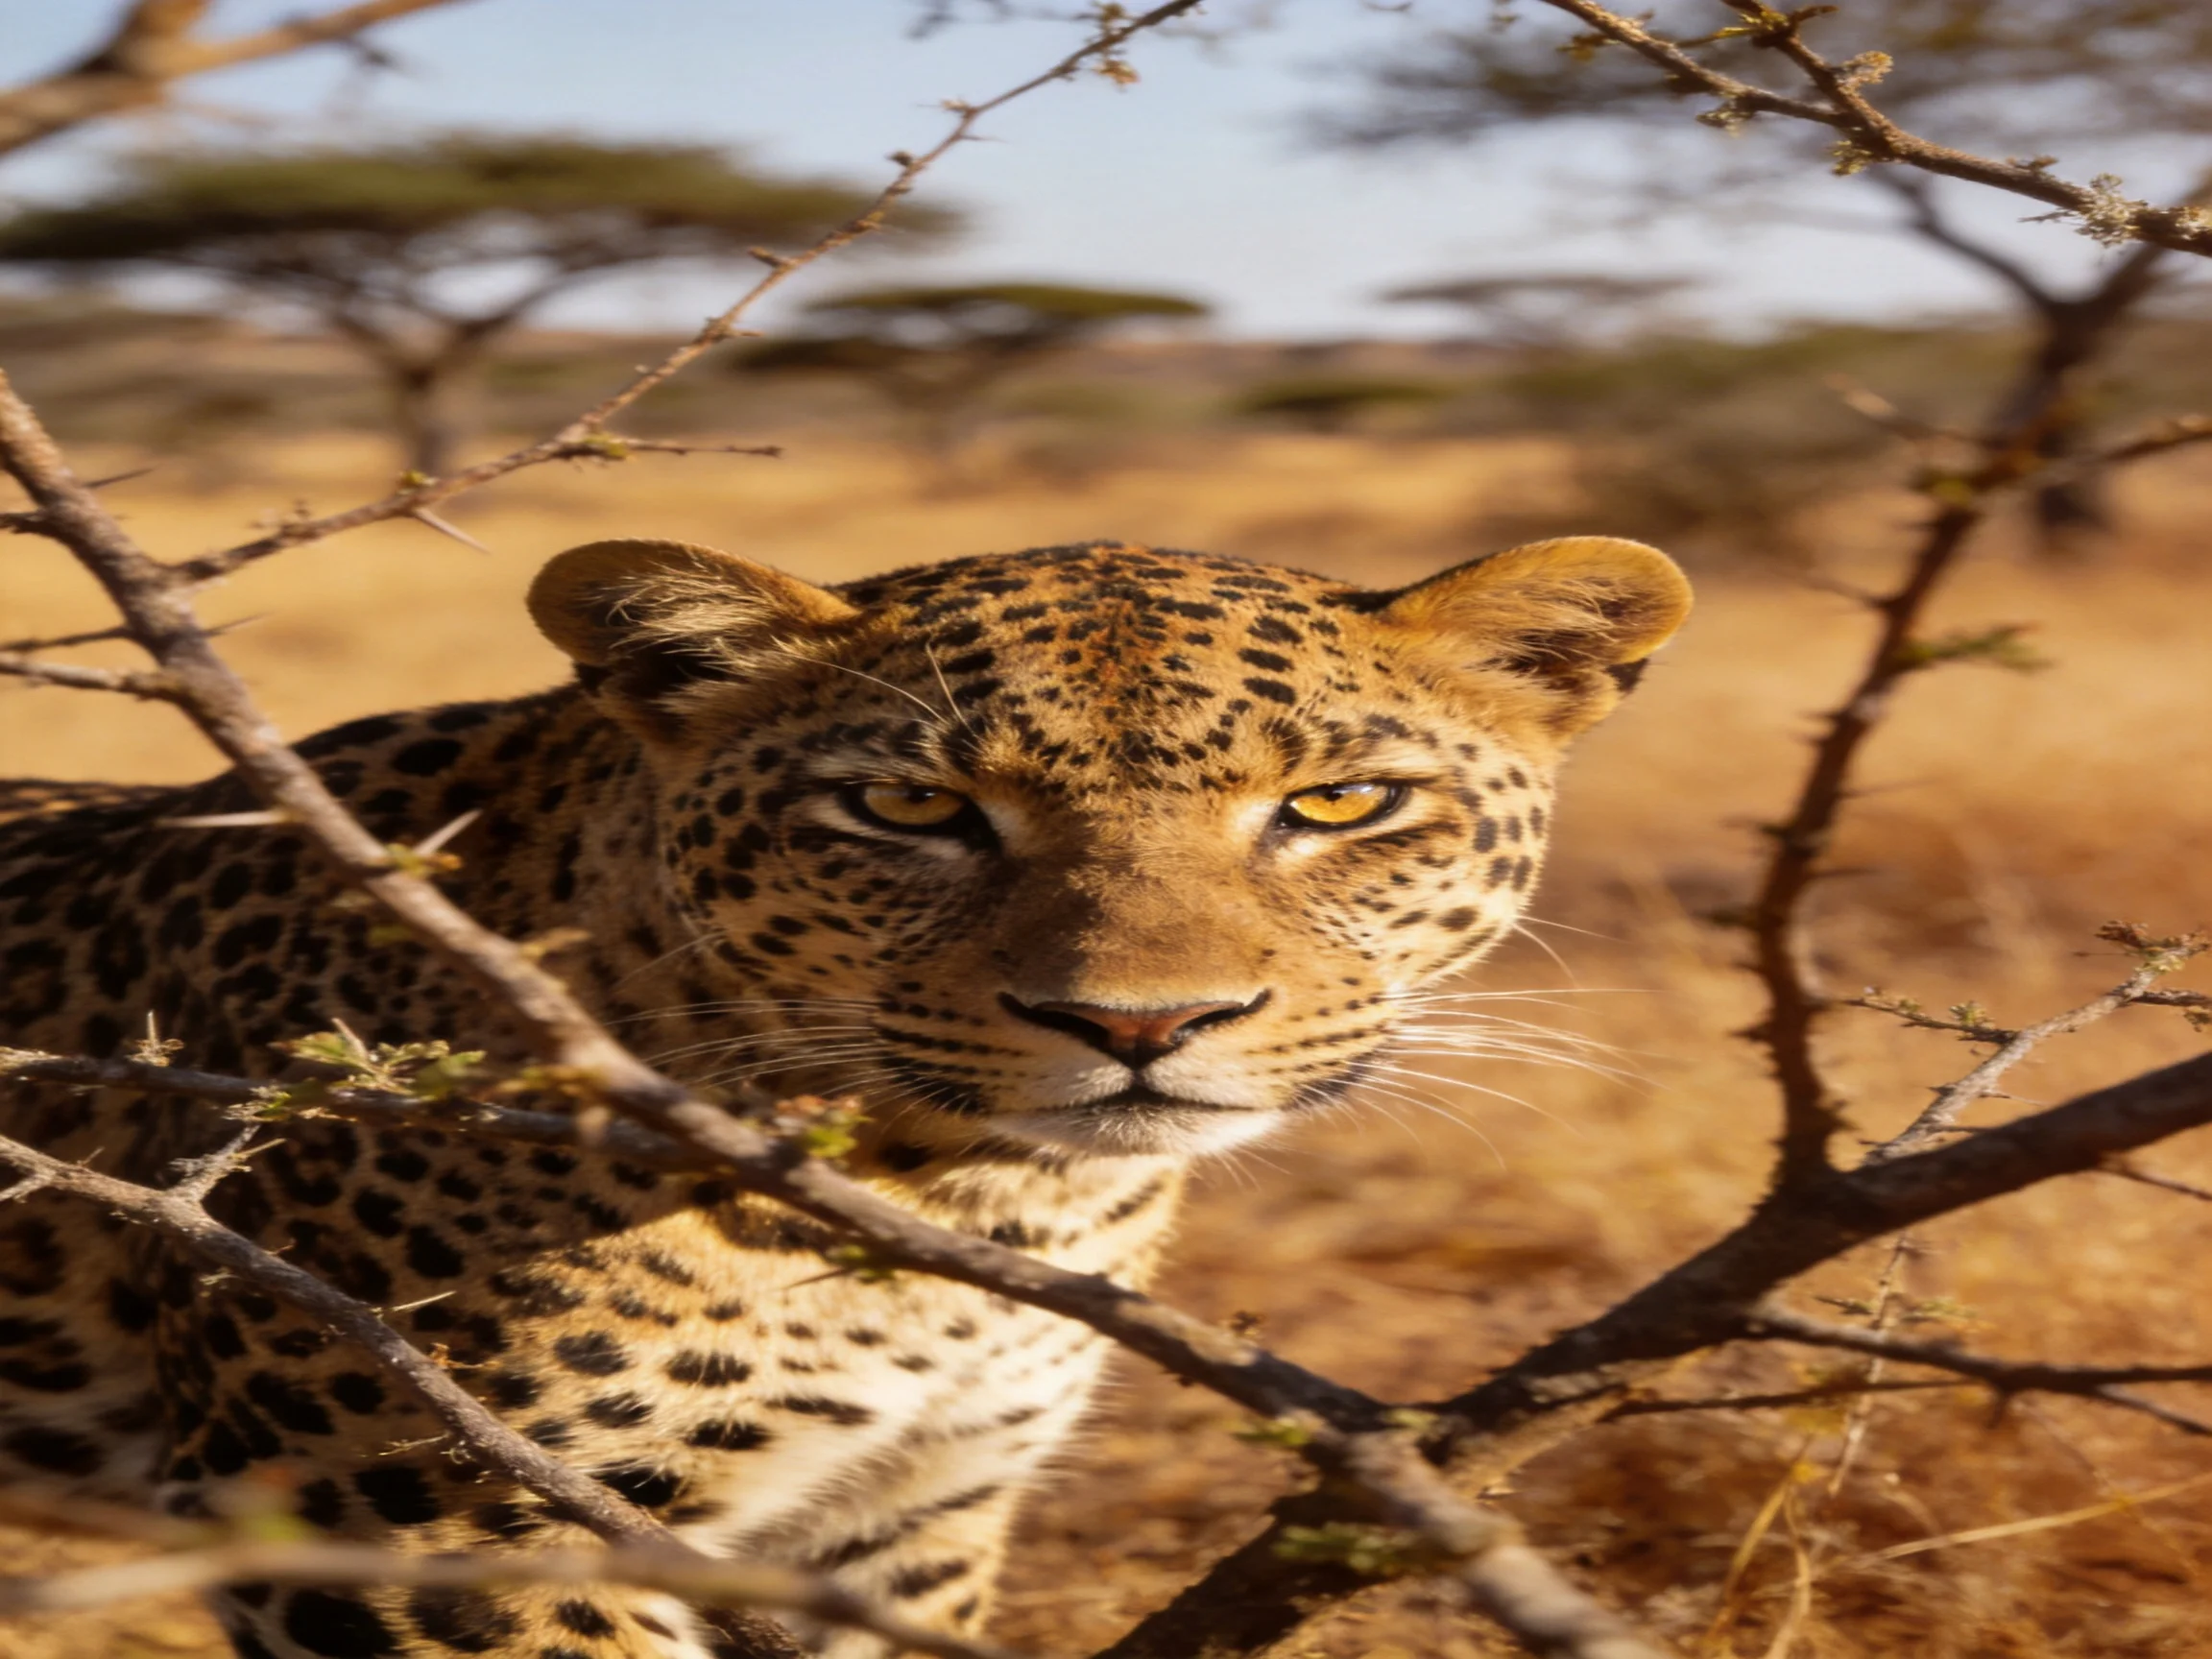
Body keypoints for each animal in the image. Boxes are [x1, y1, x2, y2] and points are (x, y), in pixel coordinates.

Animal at [0, 533, 1689, 1659]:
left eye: (1341, 803)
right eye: (908, 807)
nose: (1141, 1021)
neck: (964, 1198)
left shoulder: (906, 1520)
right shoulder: (425, 1532)